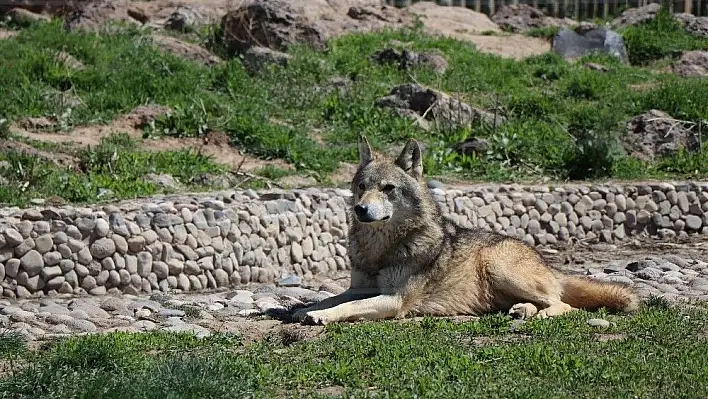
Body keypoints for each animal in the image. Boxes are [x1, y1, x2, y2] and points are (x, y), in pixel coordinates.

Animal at [290, 136, 640, 326]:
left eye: (388, 189)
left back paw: (536, 314)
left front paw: (322, 317)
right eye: (362, 187)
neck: (382, 250)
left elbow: (346, 307)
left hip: (497, 266)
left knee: (564, 304)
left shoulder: (394, 300)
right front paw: (304, 309)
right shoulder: (358, 288)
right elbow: (329, 299)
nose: (361, 210)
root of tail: (547, 263)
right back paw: (521, 311)